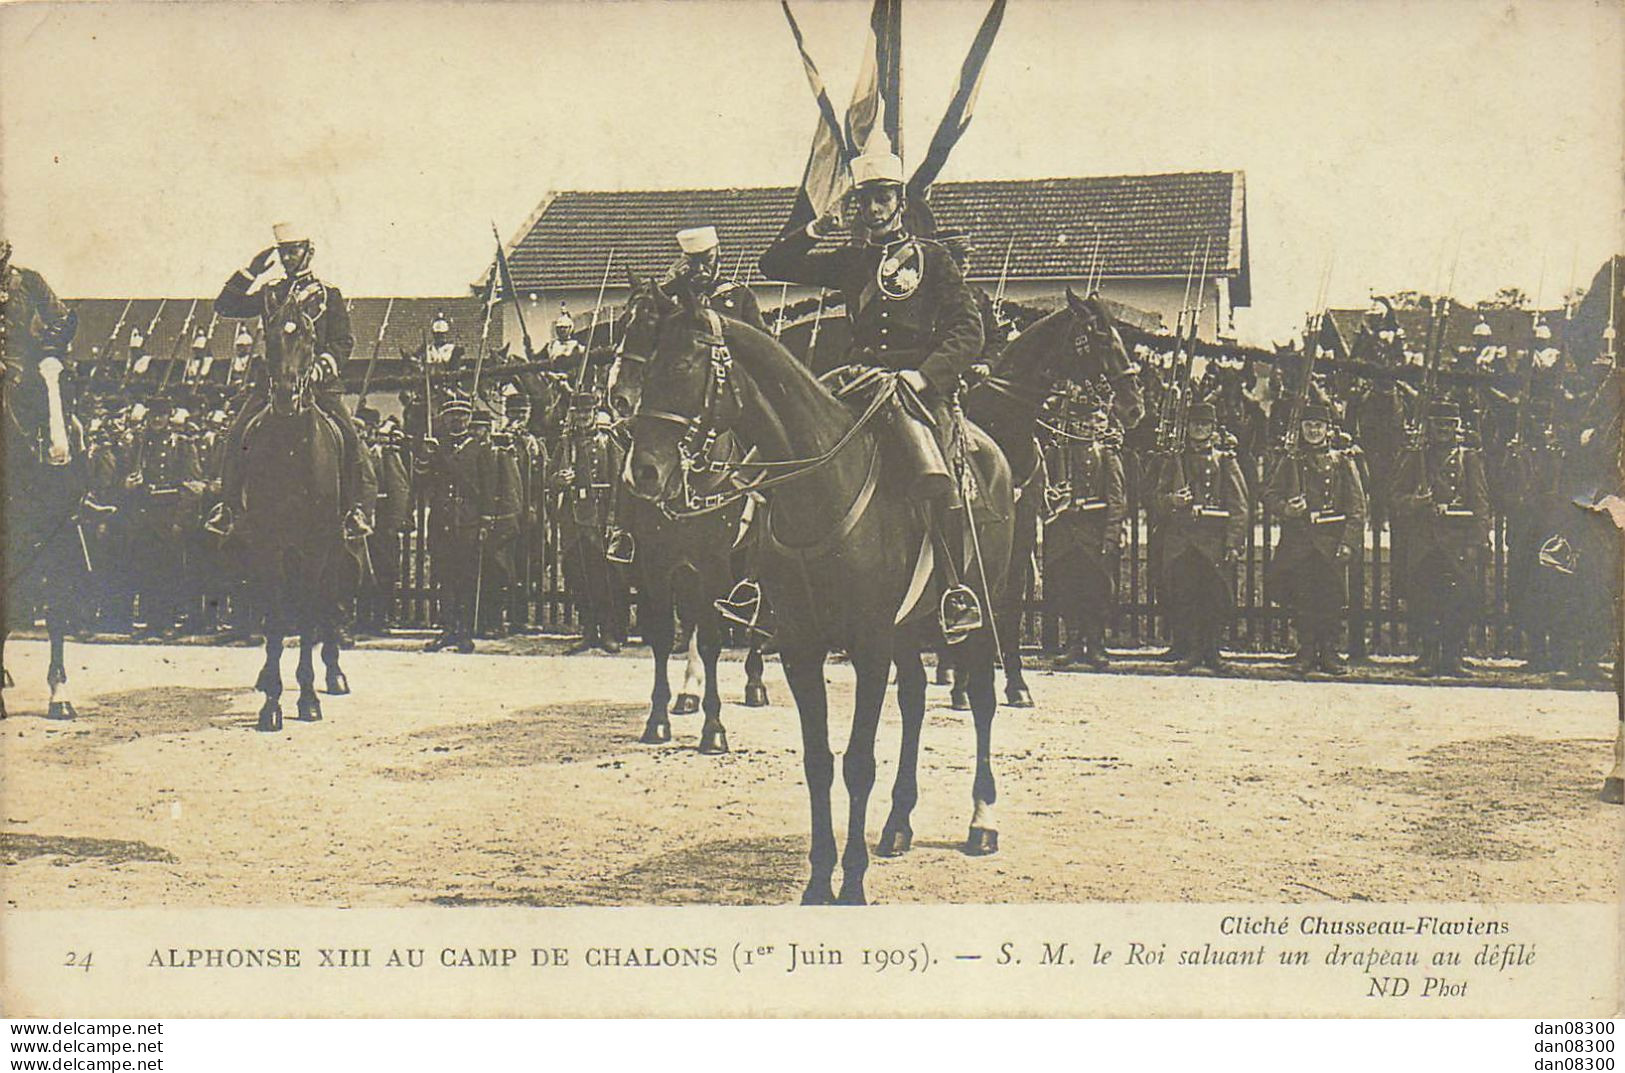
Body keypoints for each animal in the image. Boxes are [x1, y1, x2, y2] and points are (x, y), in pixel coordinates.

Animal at [237, 292, 357, 728]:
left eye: (308, 336)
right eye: (270, 336)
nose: (287, 396)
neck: (290, 446)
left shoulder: (317, 546)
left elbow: (307, 613)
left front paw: (307, 696)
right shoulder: (266, 544)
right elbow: (274, 617)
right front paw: (271, 701)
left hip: (335, 547)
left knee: (327, 600)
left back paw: (334, 672)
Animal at [607, 274, 770, 754]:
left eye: (652, 328)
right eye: (623, 323)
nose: (618, 397)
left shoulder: (714, 562)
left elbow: (714, 639)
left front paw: (714, 728)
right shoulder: (658, 561)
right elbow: (667, 635)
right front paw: (659, 717)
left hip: (753, 558)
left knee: (754, 608)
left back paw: (754, 681)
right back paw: (688, 691)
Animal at [624, 284, 1014, 903]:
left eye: (682, 366)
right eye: (643, 361)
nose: (642, 471)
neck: (821, 487)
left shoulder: (869, 645)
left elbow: (857, 762)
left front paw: (850, 882)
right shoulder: (801, 645)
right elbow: (817, 761)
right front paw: (817, 880)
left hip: (982, 605)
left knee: (980, 699)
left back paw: (982, 822)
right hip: (906, 629)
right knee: (915, 700)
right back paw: (898, 823)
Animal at [955, 287, 1150, 705]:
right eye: (1100, 339)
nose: (1134, 408)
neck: (1004, 429)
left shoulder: (1023, 527)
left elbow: (1009, 601)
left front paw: (1015, 683)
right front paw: (965, 683)